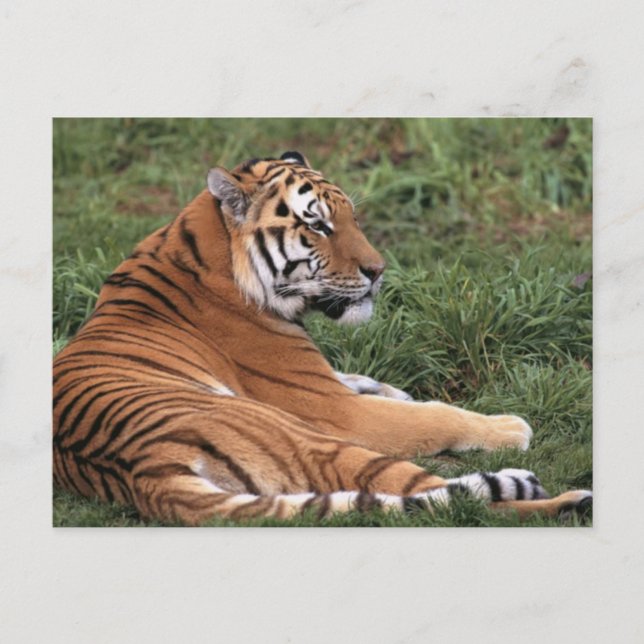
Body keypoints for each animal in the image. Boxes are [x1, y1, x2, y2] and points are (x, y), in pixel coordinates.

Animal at [53, 151, 592, 525]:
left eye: (351, 217)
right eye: (318, 225)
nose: (379, 271)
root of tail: (146, 472)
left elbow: (363, 380)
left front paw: (387, 386)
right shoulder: (334, 409)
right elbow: (434, 415)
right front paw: (509, 427)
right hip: (313, 440)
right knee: (450, 504)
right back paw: (563, 498)